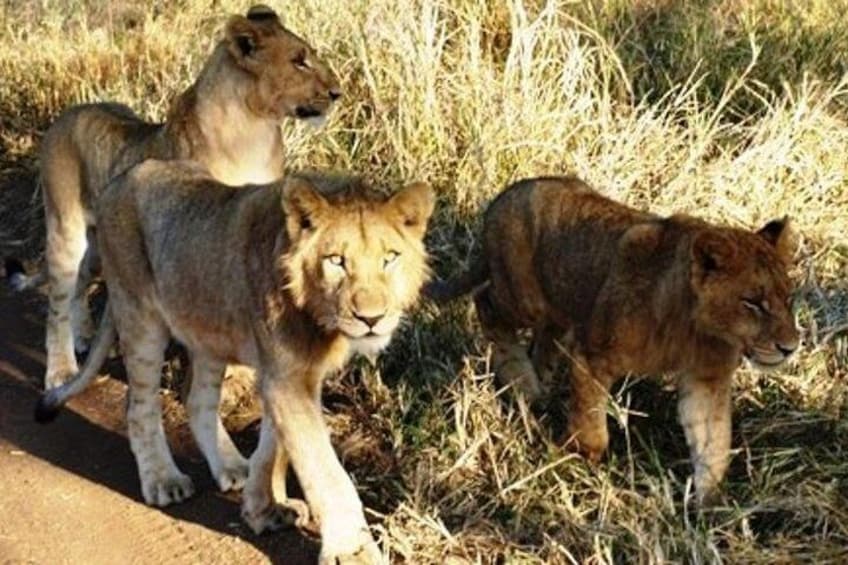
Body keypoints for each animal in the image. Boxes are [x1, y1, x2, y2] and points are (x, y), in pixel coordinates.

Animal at [34, 160, 430, 564]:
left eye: (390, 258)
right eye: (336, 261)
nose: (372, 318)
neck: (316, 315)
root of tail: (121, 178)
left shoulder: (287, 372)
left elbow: (275, 446)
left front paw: (263, 508)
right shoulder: (285, 377)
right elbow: (325, 471)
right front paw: (353, 551)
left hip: (207, 329)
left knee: (197, 400)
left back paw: (229, 467)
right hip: (139, 314)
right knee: (139, 407)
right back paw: (163, 480)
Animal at [35, 5, 342, 388]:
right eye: (299, 61)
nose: (337, 92)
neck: (256, 130)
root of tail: (66, 114)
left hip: (97, 247)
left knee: (78, 286)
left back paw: (84, 337)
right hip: (65, 229)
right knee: (56, 304)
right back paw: (61, 371)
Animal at [430, 176, 800, 502]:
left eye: (788, 299)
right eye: (753, 302)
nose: (790, 347)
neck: (694, 329)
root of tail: (500, 201)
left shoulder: (707, 379)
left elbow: (714, 444)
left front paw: (710, 507)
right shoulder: (592, 356)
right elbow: (592, 424)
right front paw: (576, 457)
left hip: (560, 308)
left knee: (544, 339)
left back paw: (537, 392)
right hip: (523, 297)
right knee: (486, 303)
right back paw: (523, 382)